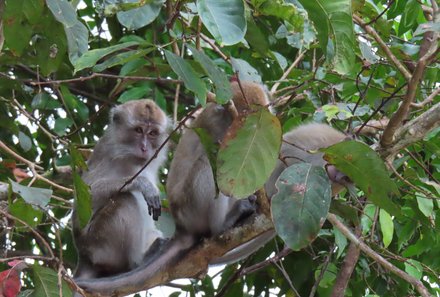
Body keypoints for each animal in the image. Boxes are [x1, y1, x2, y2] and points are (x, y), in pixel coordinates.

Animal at [72, 98, 168, 280]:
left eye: (152, 133)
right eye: (138, 130)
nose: (144, 148)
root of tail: (83, 256)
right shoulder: (107, 151)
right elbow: (86, 194)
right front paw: (143, 183)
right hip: (98, 244)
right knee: (125, 199)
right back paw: (139, 261)